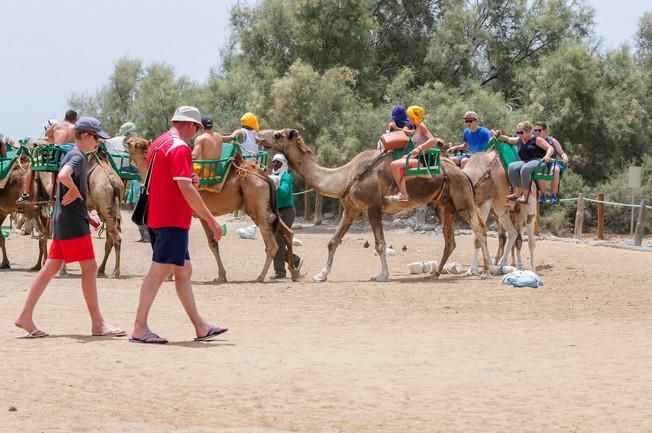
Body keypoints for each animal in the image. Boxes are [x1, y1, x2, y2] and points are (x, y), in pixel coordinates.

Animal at [123, 137, 300, 282]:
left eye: (133, 143)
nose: (125, 140)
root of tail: (264, 176)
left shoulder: (196, 214)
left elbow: (205, 243)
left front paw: (170, 275)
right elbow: (210, 244)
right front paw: (221, 276)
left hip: (257, 208)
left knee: (272, 245)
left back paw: (260, 277)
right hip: (267, 209)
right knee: (288, 232)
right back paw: (294, 272)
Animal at [255, 128, 488, 282]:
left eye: (277, 134)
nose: (259, 136)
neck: (344, 177)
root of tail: (462, 173)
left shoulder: (373, 207)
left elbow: (380, 243)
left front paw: (382, 275)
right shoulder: (351, 209)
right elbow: (332, 241)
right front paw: (321, 274)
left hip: (463, 198)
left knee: (479, 228)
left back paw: (486, 271)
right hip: (444, 205)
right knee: (451, 240)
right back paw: (436, 273)